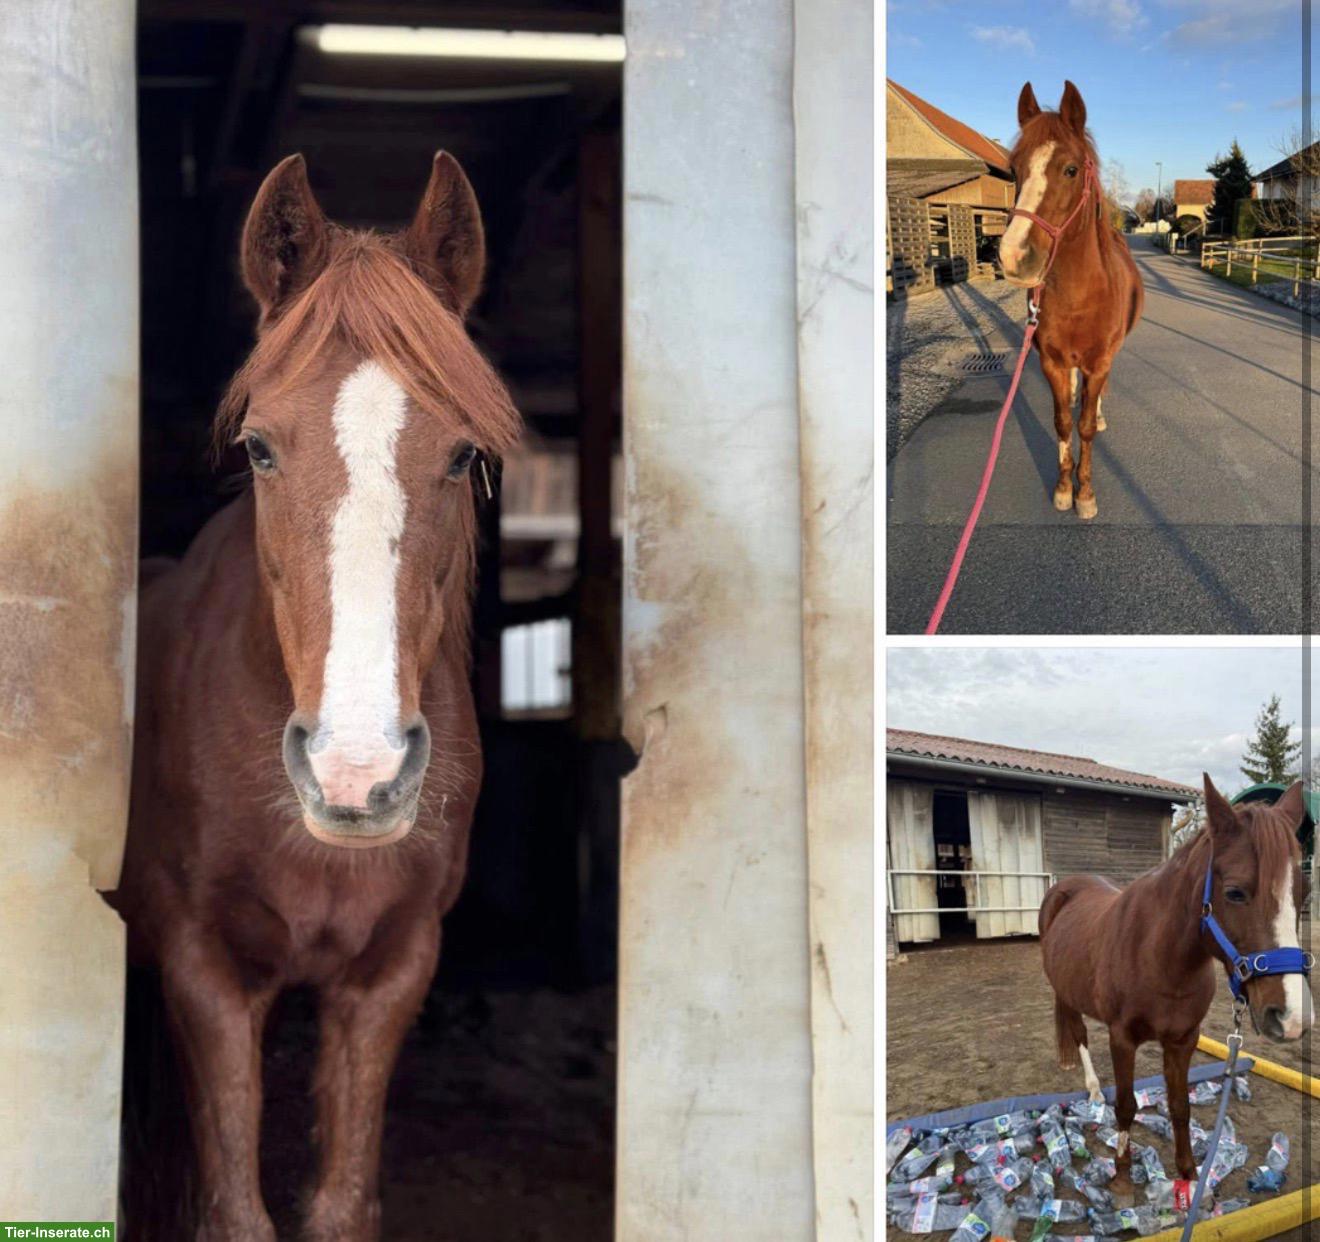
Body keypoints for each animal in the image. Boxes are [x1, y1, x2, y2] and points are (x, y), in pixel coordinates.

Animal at [109, 151, 520, 1240]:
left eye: (464, 454)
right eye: (259, 447)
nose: (356, 772)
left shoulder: (389, 974)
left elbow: (338, 1206)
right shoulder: (205, 970)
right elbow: (235, 1213)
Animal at [999, 80, 1144, 521]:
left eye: (1071, 170)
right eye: (1014, 169)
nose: (1013, 256)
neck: (1081, 296)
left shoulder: (1100, 361)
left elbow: (1083, 428)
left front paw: (1086, 494)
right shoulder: (1053, 363)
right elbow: (1063, 422)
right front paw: (1064, 489)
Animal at [1039, 775, 1314, 1190]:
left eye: (1303, 893)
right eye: (1234, 892)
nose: (1292, 1017)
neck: (1159, 958)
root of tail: (1064, 887)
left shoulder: (1184, 1039)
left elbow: (1180, 1106)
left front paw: (1189, 1174)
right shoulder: (1122, 1039)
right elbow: (1125, 1106)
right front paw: (1122, 1176)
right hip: (1066, 992)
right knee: (1078, 1033)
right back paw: (1093, 1088)